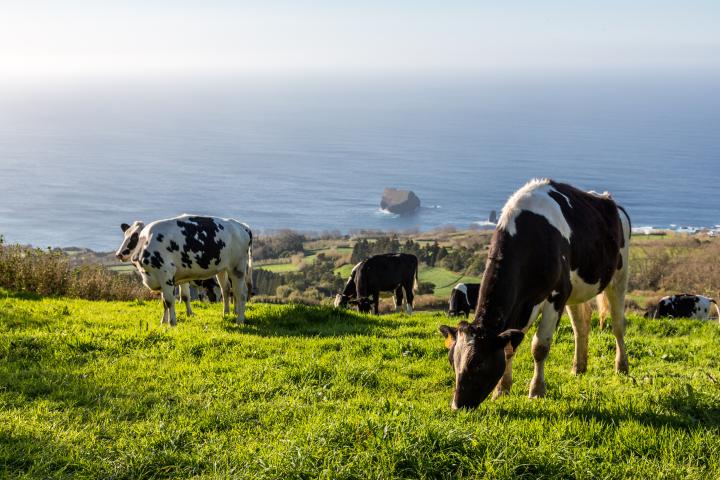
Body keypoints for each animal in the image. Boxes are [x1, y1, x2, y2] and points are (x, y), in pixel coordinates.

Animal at [115, 215, 253, 324]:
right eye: (126, 235)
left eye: (134, 237)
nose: (118, 254)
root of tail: (243, 226)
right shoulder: (161, 279)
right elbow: (164, 302)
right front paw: (163, 322)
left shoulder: (166, 274)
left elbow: (170, 301)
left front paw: (172, 323)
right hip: (223, 269)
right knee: (226, 290)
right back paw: (226, 314)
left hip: (237, 268)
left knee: (240, 294)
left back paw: (240, 320)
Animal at [438, 178, 632, 410]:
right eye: (452, 361)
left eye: (478, 363)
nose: (457, 405)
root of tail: (608, 199)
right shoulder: (524, 304)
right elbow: (509, 347)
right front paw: (501, 390)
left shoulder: (557, 295)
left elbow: (539, 346)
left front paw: (536, 391)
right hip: (576, 289)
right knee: (581, 324)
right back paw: (578, 367)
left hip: (619, 275)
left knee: (618, 324)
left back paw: (622, 367)